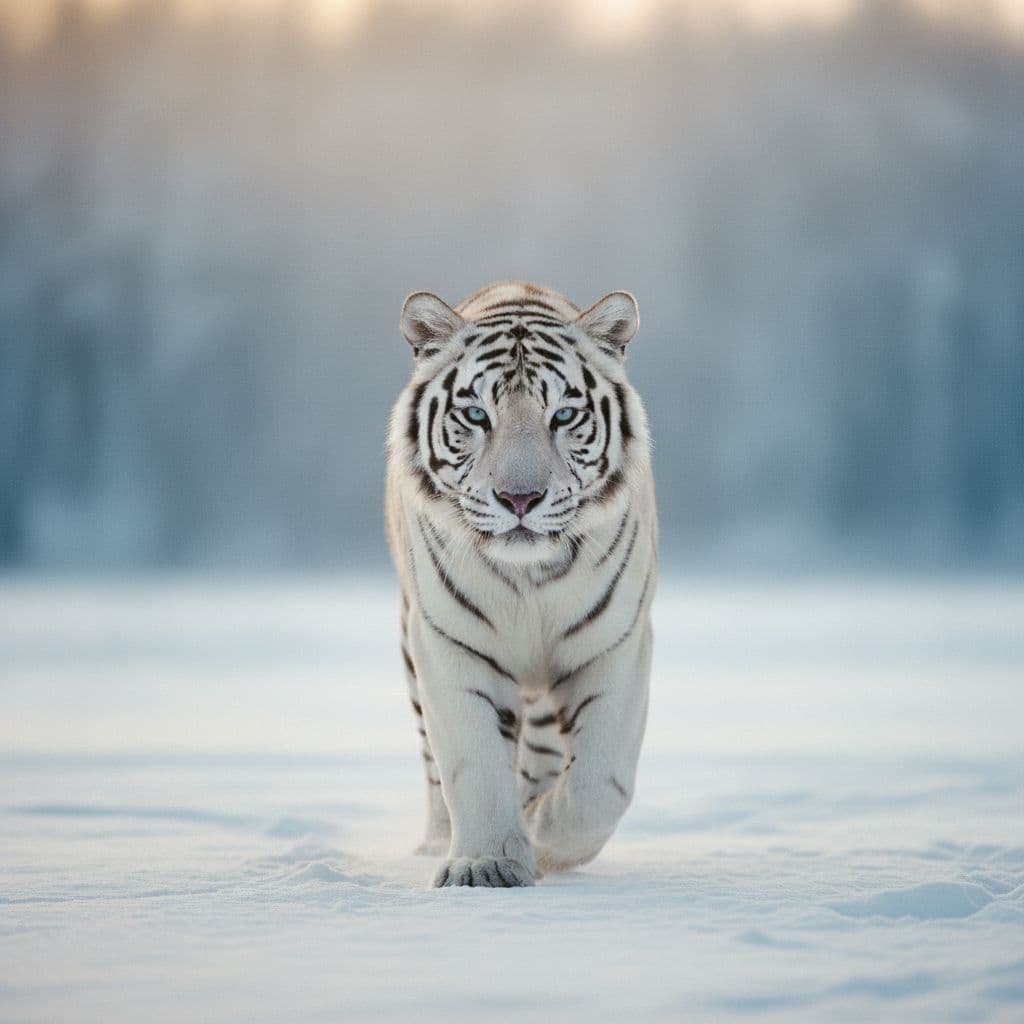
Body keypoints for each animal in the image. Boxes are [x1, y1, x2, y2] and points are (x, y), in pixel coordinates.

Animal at [385, 280, 657, 888]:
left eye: (564, 414)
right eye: (475, 414)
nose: (519, 499)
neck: (529, 579)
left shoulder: (615, 644)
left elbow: (602, 782)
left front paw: (543, 834)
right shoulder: (449, 644)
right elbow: (472, 765)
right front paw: (484, 865)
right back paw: (436, 842)